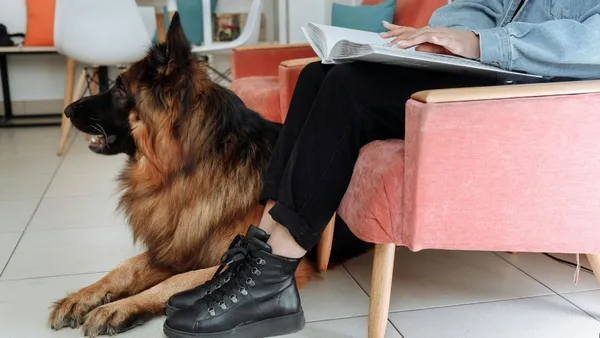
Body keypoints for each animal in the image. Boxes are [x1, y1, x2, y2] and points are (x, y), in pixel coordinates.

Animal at [47, 12, 366, 336]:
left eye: (121, 90)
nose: (67, 110)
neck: (187, 169)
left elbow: (176, 281)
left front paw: (121, 307)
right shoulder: (179, 244)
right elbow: (127, 266)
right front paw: (84, 296)